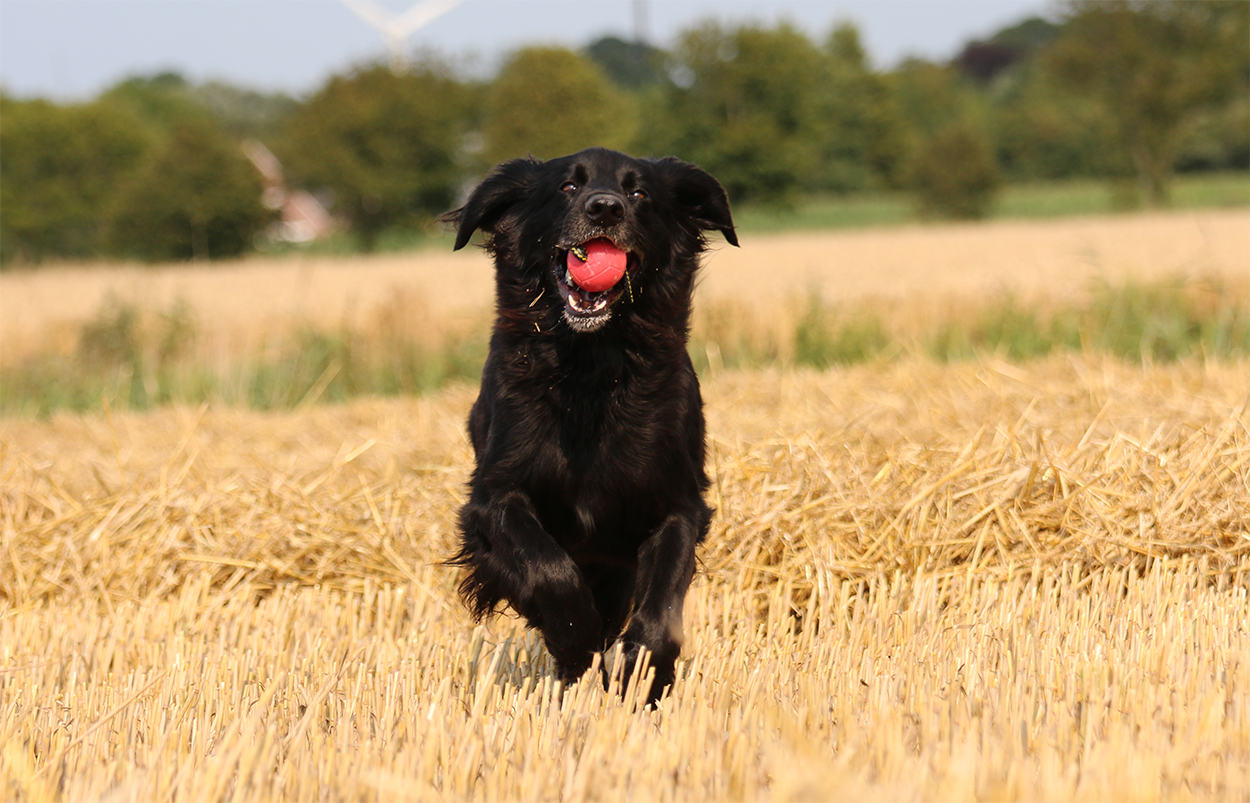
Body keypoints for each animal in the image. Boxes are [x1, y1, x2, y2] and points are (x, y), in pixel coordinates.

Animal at [441, 147, 737, 702]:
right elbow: (549, 571)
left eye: (639, 192)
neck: (592, 370)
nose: (605, 208)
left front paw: (643, 676)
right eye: (567, 187)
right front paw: (575, 639)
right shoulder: (494, 498)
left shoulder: (678, 505)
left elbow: (661, 609)